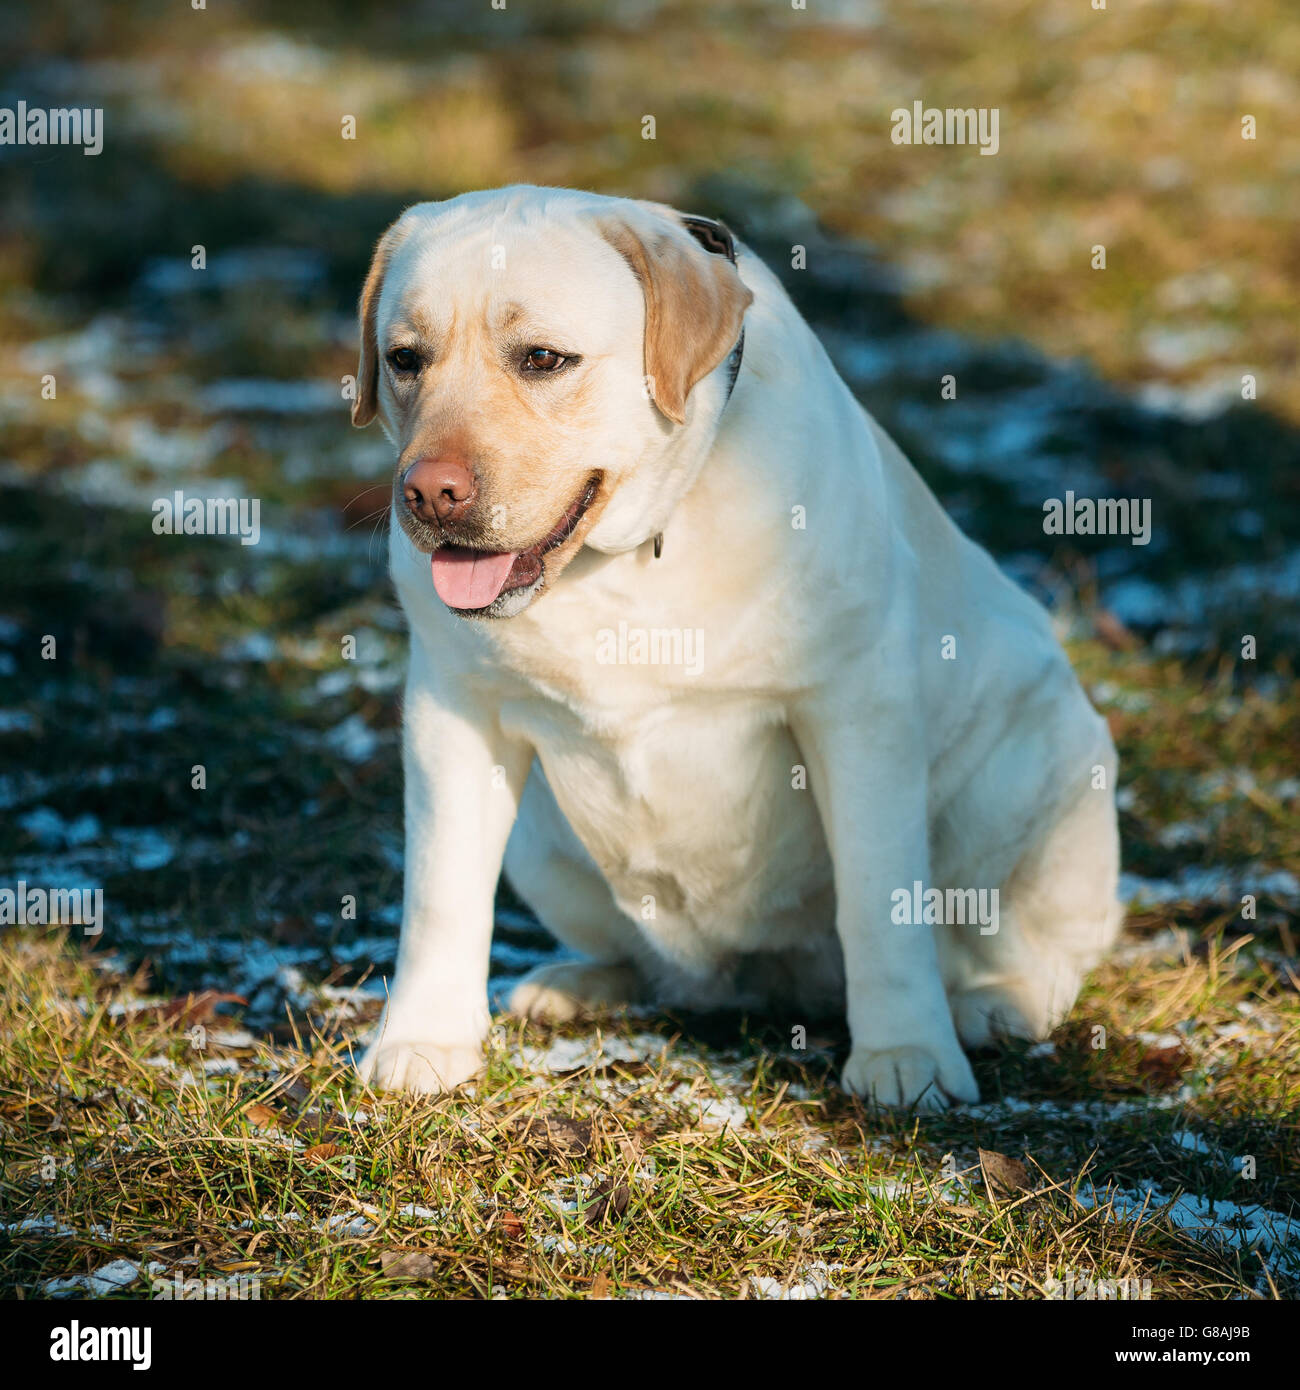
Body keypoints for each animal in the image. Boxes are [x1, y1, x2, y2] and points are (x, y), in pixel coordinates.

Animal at [350, 190, 1123, 1112]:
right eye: (404, 359)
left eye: (542, 359)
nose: (428, 493)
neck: (632, 554)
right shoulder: (454, 710)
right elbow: (441, 891)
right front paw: (424, 1042)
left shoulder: (856, 709)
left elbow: (881, 899)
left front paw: (906, 1056)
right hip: (544, 838)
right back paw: (578, 984)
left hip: (1039, 772)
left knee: (1037, 950)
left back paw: (995, 1007)